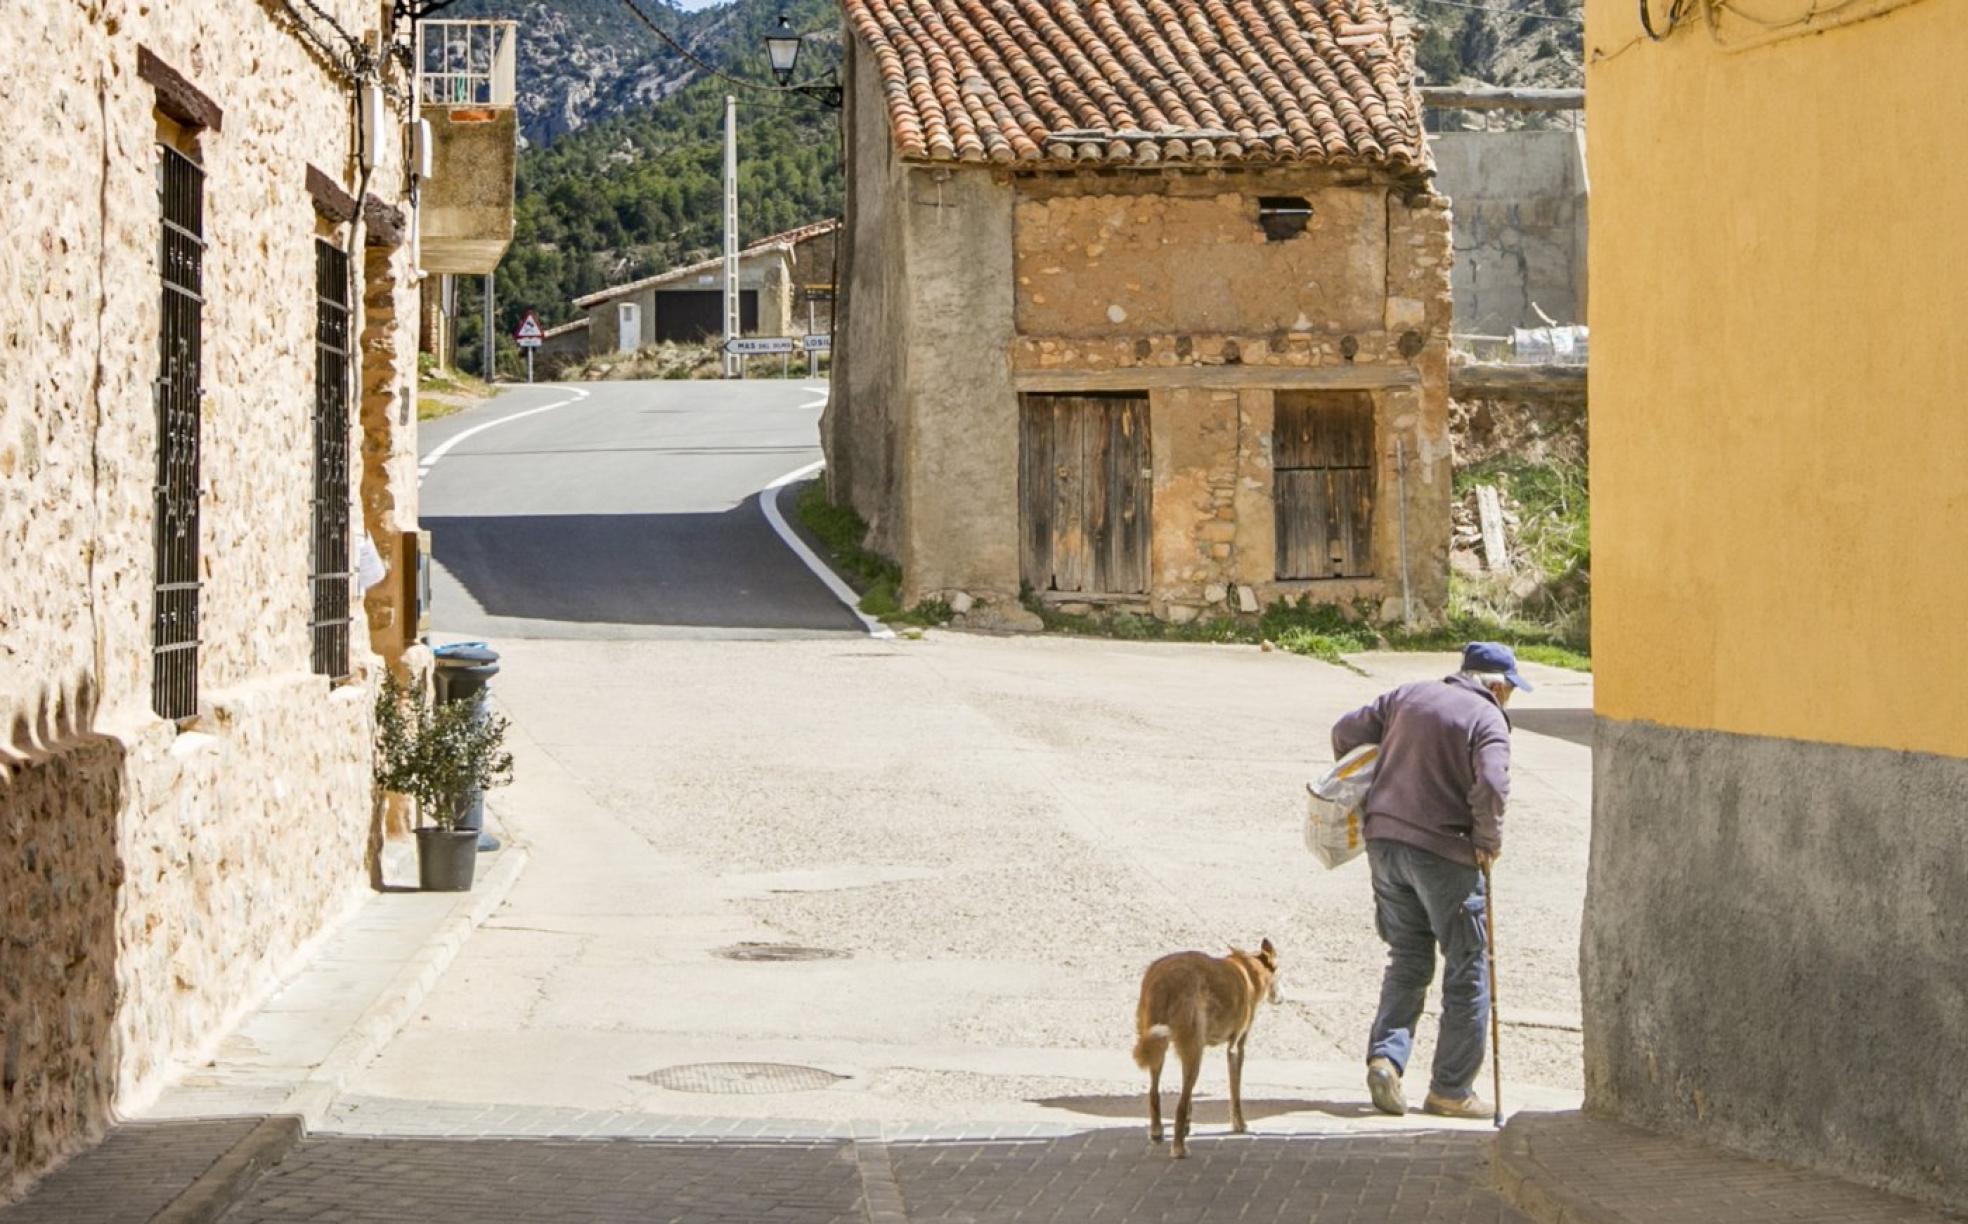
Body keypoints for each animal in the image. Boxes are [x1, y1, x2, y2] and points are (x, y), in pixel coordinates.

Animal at [1133, 944, 1283, 1157]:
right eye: (1279, 972)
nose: (1282, 999)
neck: (1249, 970)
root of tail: (1164, 980)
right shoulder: (1236, 1048)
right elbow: (1235, 1091)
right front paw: (1239, 1124)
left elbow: (1190, 1099)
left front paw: (1188, 1124)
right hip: (1192, 1050)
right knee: (1179, 1104)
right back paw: (1179, 1148)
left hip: (1157, 1045)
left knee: (1154, 1092)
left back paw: (1157, 1132)